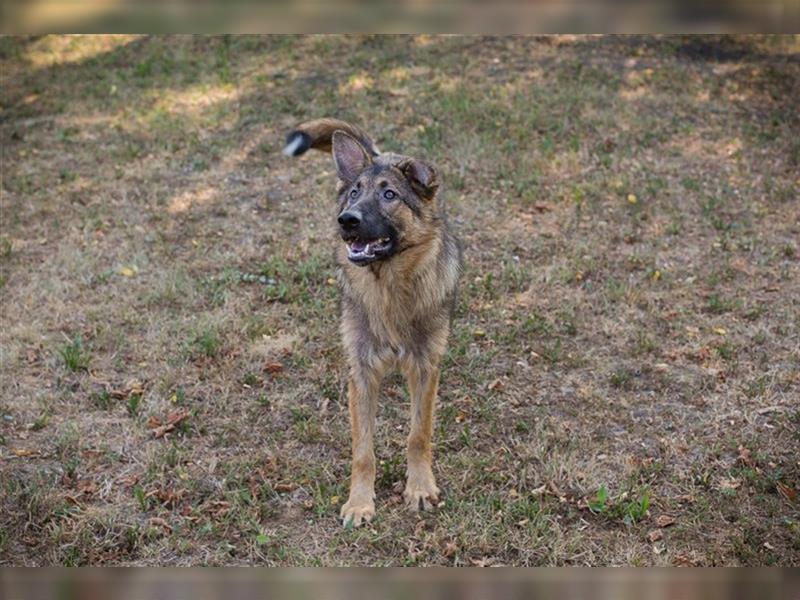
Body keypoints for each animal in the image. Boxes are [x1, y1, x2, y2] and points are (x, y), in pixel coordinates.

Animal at [282, 117, 460, 524]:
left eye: (390, 195)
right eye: (354, 193)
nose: (347, 220)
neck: (389, 287)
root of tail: (382, 154)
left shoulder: (425, 367)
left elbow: (418, 434)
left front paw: (419, 487)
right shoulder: (361, 373)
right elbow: (363, 450)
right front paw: (360, 502)